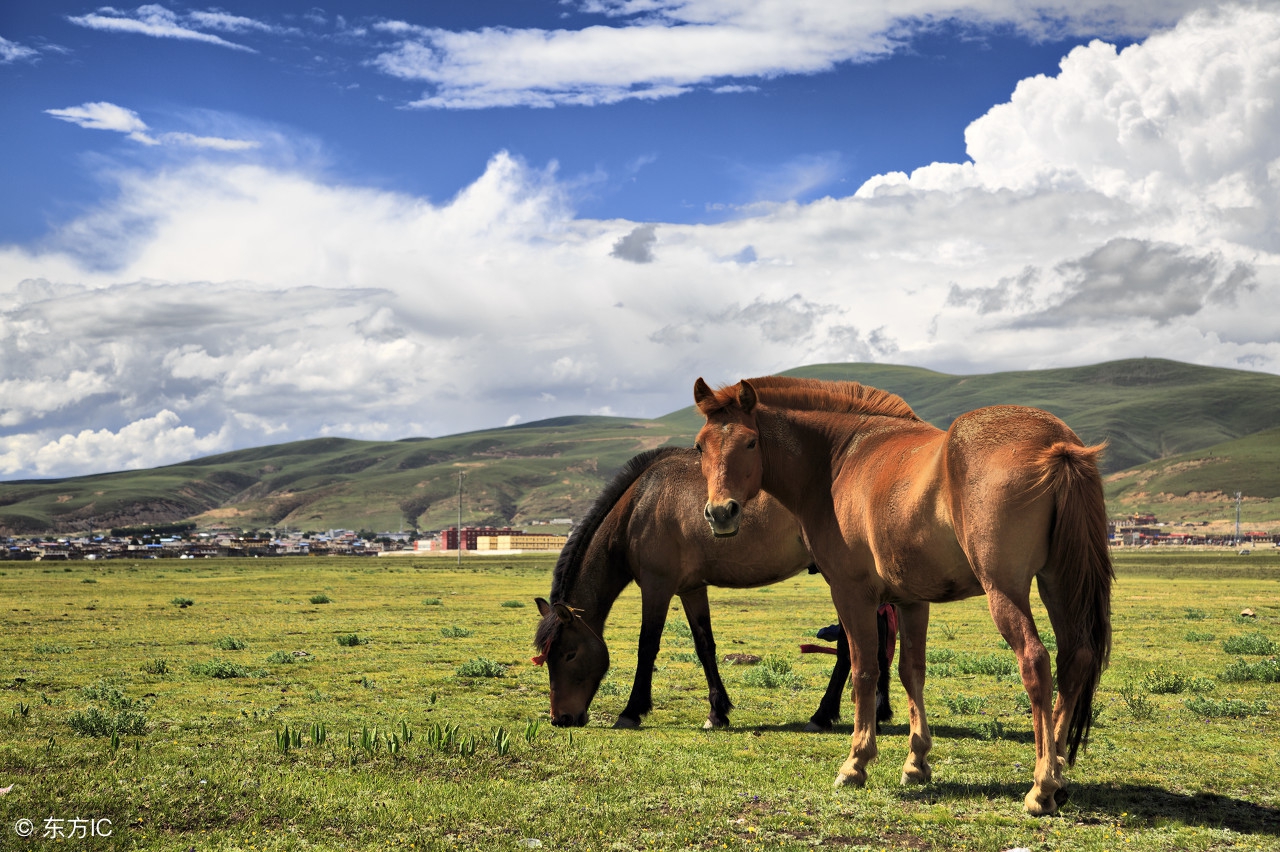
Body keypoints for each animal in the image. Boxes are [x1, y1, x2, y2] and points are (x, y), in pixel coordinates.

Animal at [529, 445, 890, 731]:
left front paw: (631, 711)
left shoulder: (657, 586)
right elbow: (705, 646)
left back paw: (823, 715)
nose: (560, 718)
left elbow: (647, 646)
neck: (639, 504)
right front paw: (717, 712)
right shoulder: (691, 589)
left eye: (569, 653)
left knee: (850, 646)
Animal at [691, 376, 1111, 813]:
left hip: (1005, 589)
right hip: (1058, 583)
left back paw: (1042, 785)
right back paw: (1058, 770)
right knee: (1075, 659)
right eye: (701, 446)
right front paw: (916, 762)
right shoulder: (912, 600)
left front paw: (856, 762)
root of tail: (1056, 445)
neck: (839, 458)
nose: (720, 513)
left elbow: (864, 670)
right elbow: (912, 672)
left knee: (1035, 661)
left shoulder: (851, 593)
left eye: (751, 441)